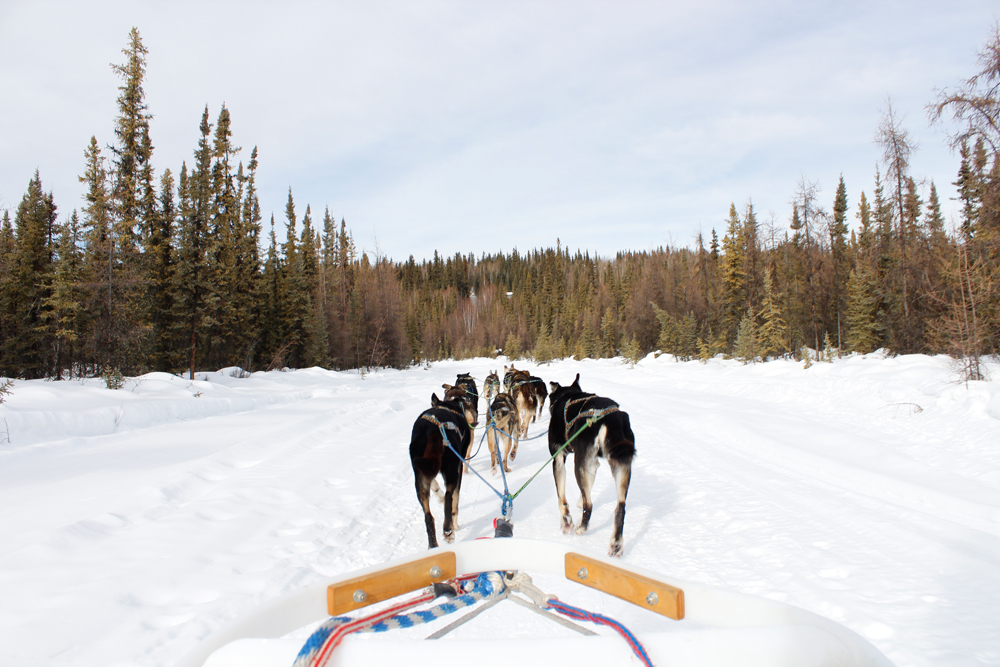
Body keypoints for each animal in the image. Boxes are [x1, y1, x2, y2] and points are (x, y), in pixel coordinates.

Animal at [410, 394, 472, 552]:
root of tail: (433, 429)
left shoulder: (423, 470)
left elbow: (433, 483)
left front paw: (438, 493)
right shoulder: (459, 466)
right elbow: (455, 502)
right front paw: (455, 524)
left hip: (419, 481)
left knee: (428, 517)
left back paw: (433, 545)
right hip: (452, 471)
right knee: (449, 497)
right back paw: (448, 530)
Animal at [548, 376, 632, 560]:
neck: (568, 396)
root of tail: (610, 418)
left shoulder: (558, 459)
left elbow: (561, 498)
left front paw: (566, 521)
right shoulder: (593, 464)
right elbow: (584, 490)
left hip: (579, 463)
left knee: (590, 504)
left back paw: (581, 527)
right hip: (620, 466)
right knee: (620, 508)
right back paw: (616, 543)